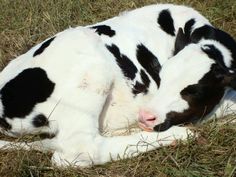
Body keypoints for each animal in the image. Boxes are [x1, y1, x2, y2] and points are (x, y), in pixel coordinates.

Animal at [0, 4, 236, 167]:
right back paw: (179, 135)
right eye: (162, 76)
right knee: (80, 150)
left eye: (195, 91)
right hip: (91, 71)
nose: (145, 116)